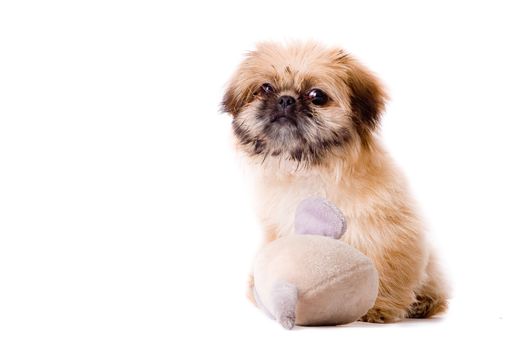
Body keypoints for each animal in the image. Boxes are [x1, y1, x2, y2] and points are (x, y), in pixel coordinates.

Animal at [223, 41, 448, 322]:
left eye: (316, 96)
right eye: (265, 88)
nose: (285, 99)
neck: (311, 169)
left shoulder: (388, 232)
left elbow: (386, 268)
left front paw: (377, 306)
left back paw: (424, 303)